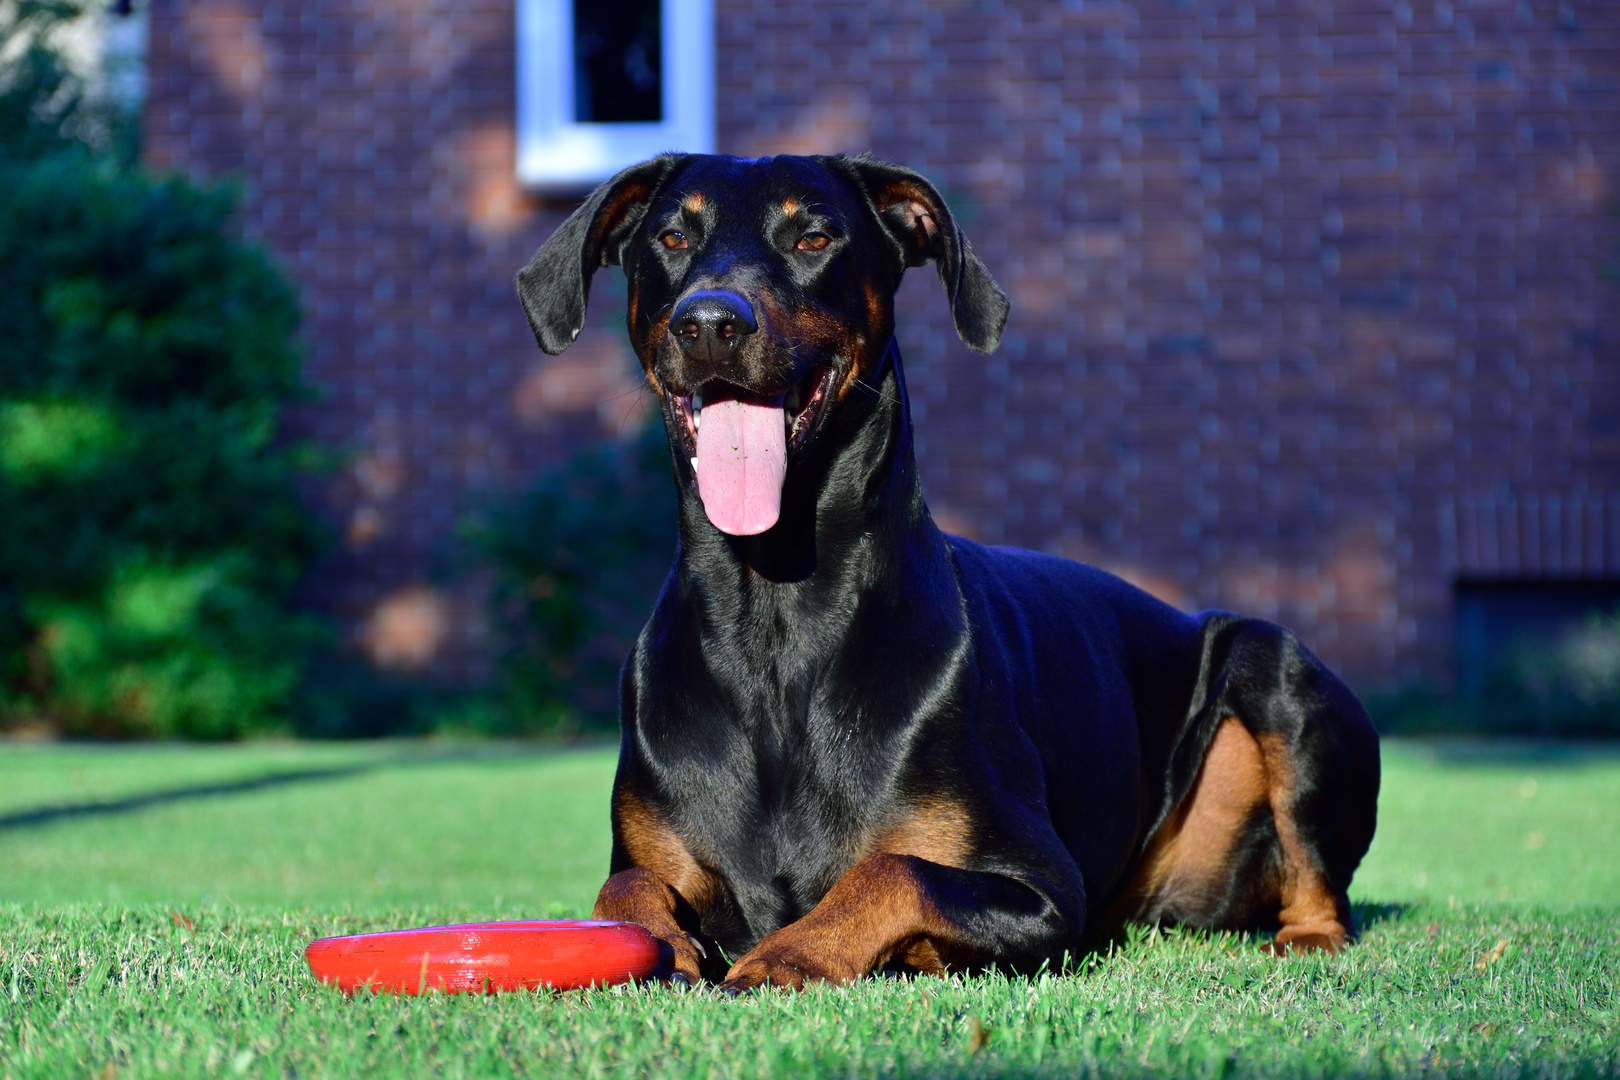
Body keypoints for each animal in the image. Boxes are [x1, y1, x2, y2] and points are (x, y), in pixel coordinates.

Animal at [518, 152, 1380, 997]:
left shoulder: (1041, 886)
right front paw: (671, 949)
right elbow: (623, 889)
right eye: (671, 236)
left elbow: (894, 871)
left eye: (814, 237)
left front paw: (791, 955)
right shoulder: (651, 853)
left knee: (1320, 888)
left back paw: (1306, 939)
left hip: (1274, 666)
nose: (710, 323)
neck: (775, 623)